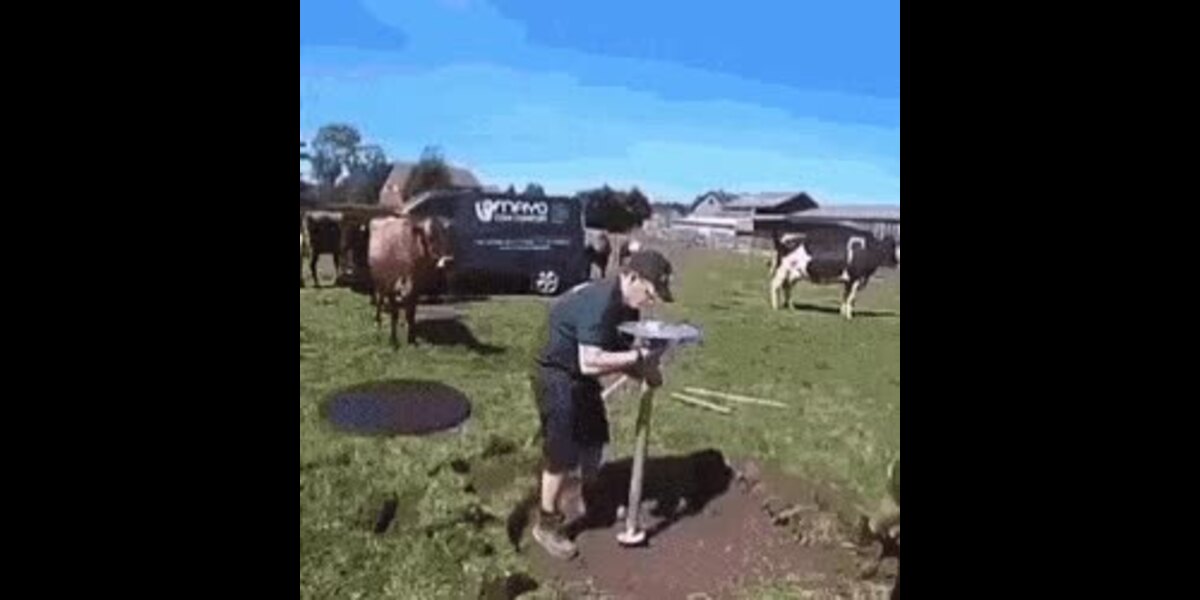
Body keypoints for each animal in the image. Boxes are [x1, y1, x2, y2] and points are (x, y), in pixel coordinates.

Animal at [368, 215, 455, 348]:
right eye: (430, 237)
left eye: (448, 236)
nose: (448, 261)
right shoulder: (391, 286)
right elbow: (394, 313)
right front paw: (393, 340)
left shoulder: (416, 289)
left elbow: (411, 314)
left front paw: (411, 339)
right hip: (379, 282)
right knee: (379, 299)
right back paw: (377, 319)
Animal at [768, 227, 900, 319]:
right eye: (892, 248)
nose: (896, 263)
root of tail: (786, 239)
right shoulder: (856, 278)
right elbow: (851, 298)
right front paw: (849, 317)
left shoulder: (849, 281)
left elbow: (845, 296)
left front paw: (843, 313)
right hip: (782, 270)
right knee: (775, 285)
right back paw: (775, 307)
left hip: (793, 275)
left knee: (787, 288)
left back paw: (791, 307)